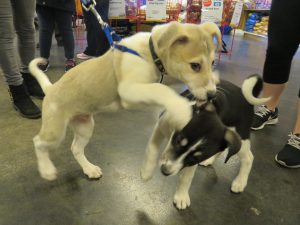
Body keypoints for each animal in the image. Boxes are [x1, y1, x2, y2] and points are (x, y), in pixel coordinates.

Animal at [28, 21, 220, 181]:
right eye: (195, 66)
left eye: (213, 63)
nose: (212, 95)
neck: (149, 53)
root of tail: (51, 88)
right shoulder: (128, 90)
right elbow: (161, 89)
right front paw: (181, 111)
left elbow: (159, 90)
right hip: (55, 131)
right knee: (38, 142)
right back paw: (46, 170)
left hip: (85, 126)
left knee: (75, 148)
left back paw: (89, 169)